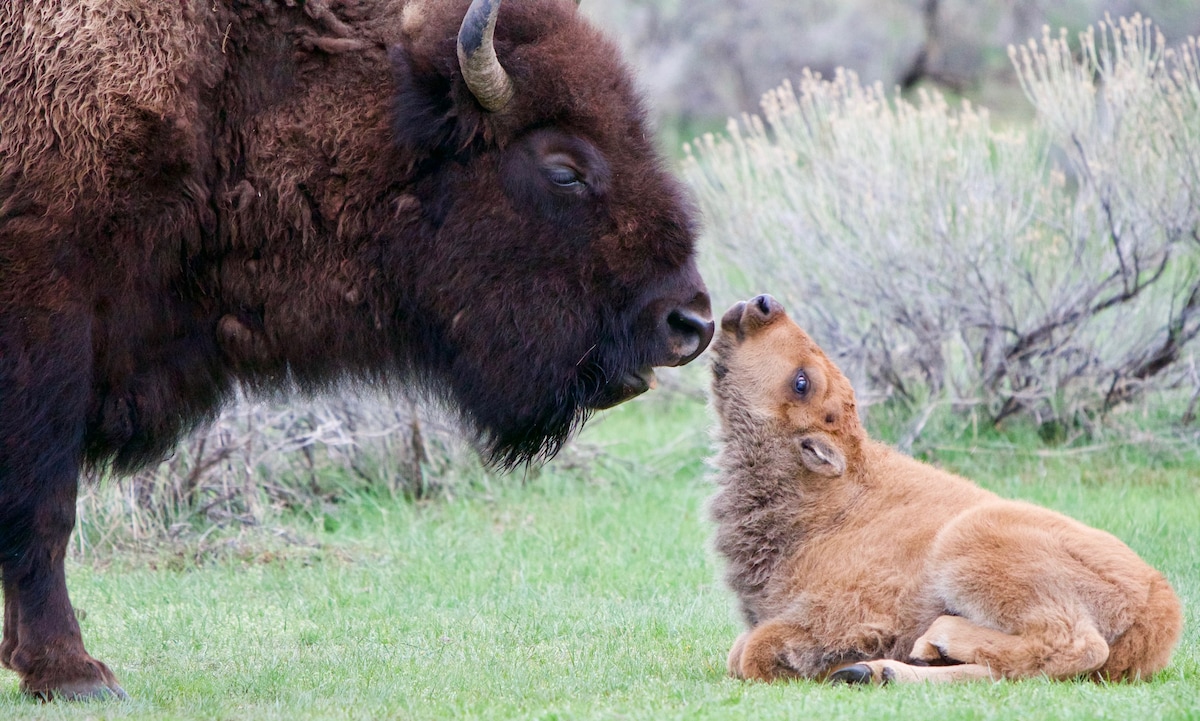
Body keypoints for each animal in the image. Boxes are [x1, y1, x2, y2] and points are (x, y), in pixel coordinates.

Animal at [0, 0, 710, 700]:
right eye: (564, 170)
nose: (689, 321)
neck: (230, 86)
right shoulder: (45, 333)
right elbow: (45, 505)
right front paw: (71, 673)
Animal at [705, 295, 1185, 681]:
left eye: (802, 382)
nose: (763, 304)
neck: (832, 500)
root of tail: (1159, 604)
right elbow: (739, 650)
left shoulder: (848, 613)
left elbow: (754, 652)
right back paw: (881, 671)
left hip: (971, 540)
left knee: (1074, 645)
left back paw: (930, 643)